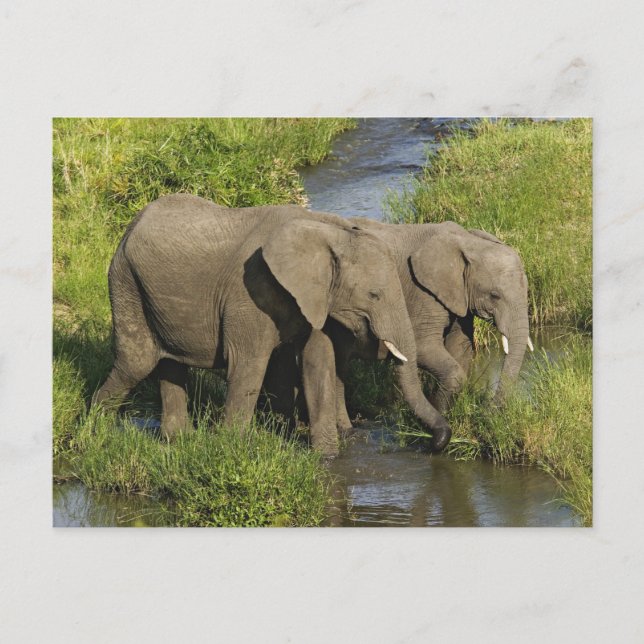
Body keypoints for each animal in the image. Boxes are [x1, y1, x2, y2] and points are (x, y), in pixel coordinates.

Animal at [92, 194, 452, 456]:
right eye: (374, 295)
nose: (435, 442)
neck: (328, 231)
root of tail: (133, 222)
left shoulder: (314, 297)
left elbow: (318, 363)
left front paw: (328, 458)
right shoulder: (250, 291)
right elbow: (249, 365)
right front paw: (232, 450)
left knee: (169, 363)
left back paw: (178, 441)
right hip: (125, 279)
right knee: (137, 361)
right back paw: (94, 432)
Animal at [263, 217, 532, 432]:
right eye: (495, 295)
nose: (488, 412)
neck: (466, 240)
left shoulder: (457, 296)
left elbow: (462, 348)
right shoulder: (424, 293)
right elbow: (424, 348)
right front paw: (440, 418)